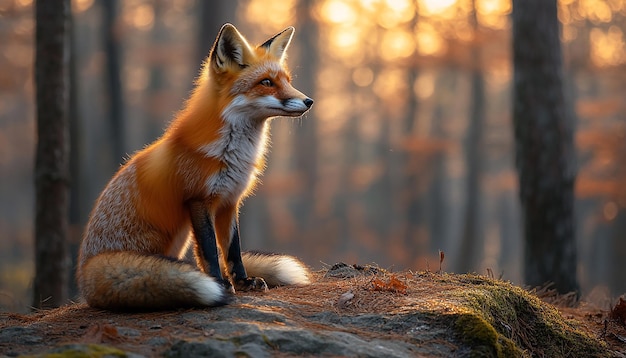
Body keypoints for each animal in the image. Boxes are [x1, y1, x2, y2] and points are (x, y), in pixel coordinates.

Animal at [77, 24, 312, 310]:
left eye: (287, 81)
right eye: (266, 82)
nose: (309, 101)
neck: (233, 153)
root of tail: (85, 274)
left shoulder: (230, 201)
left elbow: (233, 251)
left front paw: (243, 282)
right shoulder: (199, 200)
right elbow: (210, 250)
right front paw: (220, 284)